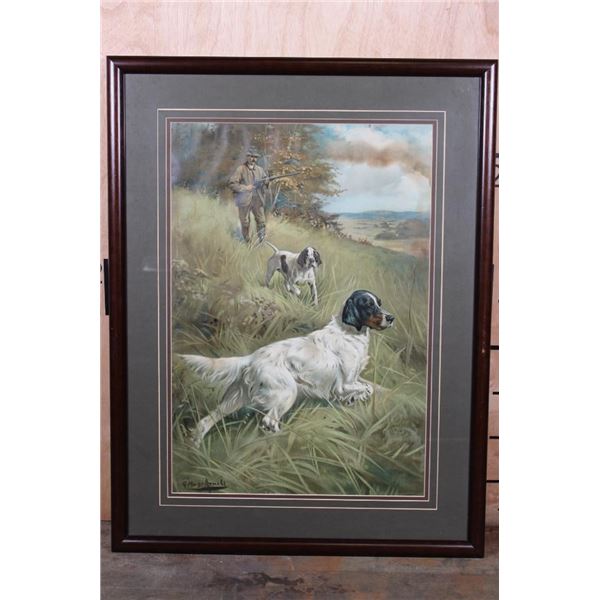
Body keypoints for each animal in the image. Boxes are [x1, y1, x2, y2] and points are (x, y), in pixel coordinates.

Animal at [181, 290, 394, 445]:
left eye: (379, 302)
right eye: (368, 305)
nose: (391, 318)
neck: (349, 333)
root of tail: (252, 357)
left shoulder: (354, 379)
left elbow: (374, 387)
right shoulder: (344, 384)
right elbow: (366, 388)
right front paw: (357, 398)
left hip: (235, 398)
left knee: (207, 420)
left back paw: (196, 444)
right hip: (287, 391)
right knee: (269, 422)